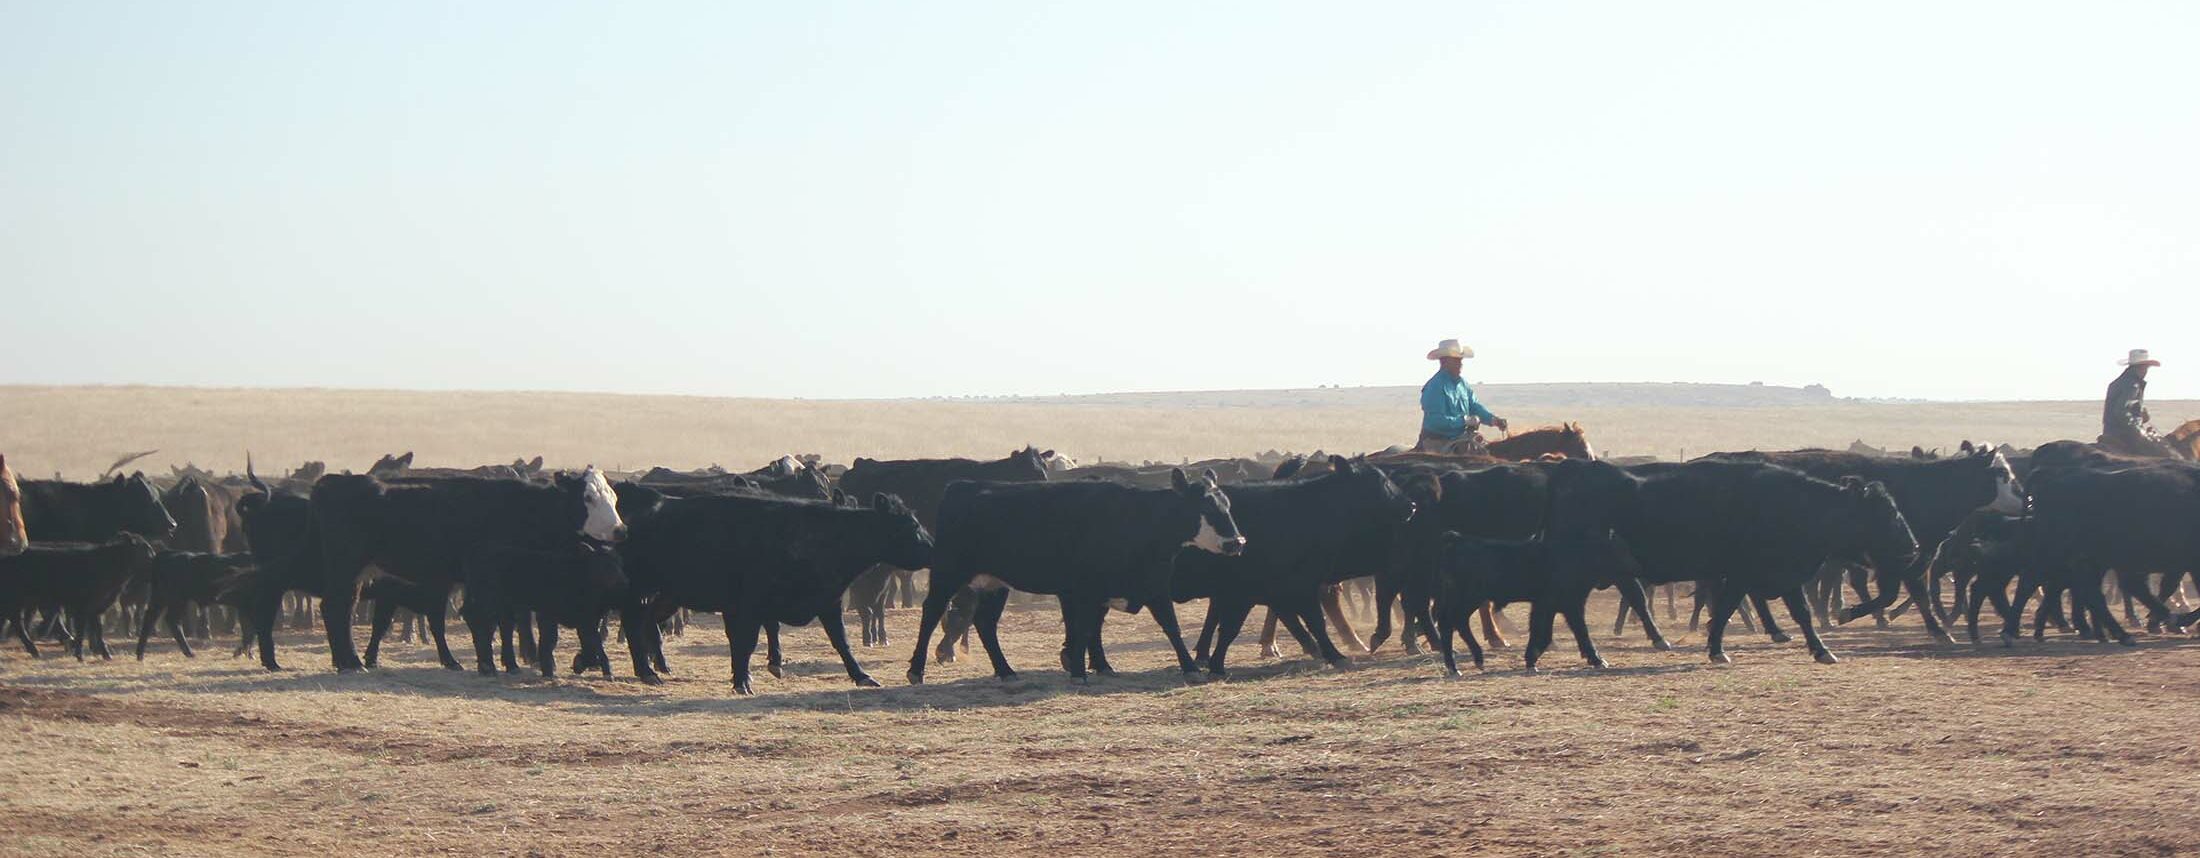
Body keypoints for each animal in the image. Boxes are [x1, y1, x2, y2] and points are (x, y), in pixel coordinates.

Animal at [462, 543, 629, 677]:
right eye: (605, 564)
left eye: (619, 562)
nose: (623, 582)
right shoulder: (551, 614)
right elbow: (551, 640)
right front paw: (548, 669)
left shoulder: (588, 621)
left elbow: (593, 645)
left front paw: (581, 664)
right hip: (488, 601)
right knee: (481, 626)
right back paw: (487, 667)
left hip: (502, 606)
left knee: (495, 627)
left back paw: (500, 666)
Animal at [616, 488, 932, 690]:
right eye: (912, 526)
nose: (934, 548)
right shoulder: (749, 605)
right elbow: (746, 642)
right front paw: (742, 681)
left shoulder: (827, 601)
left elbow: (841, 641)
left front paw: (862, 676)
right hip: (640, 589)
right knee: (632, 624)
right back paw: (646, 671)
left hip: (666, 595)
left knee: (649, 624)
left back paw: (658, 666)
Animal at [902, 468, 1249, 682]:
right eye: (1205, 507)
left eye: (1227, 505)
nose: (1237, 542)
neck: (1137, 519)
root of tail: (961, 487)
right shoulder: (1084, 591)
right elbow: (1082, 629)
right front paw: (1079, 671)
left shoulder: (1151, 585)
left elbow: (1169, 627)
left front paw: (1187, 667)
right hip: (948, 572)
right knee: (931, 612)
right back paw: (916, 670)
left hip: (994, 583)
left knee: (986, 623)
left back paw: (1006, 671)